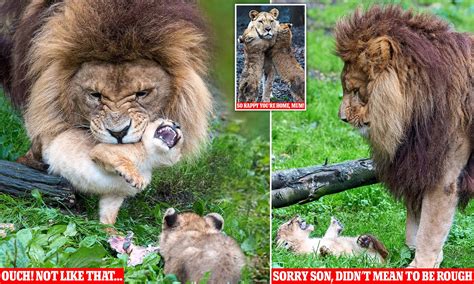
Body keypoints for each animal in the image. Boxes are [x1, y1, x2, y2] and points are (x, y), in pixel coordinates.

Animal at [336, 6, 472, 268]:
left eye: (356, 90)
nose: (342, 118)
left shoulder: (442, 176)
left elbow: (429, 229)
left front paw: (421, 265)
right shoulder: (417, 164)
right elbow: (415, 223)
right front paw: (415, 254)